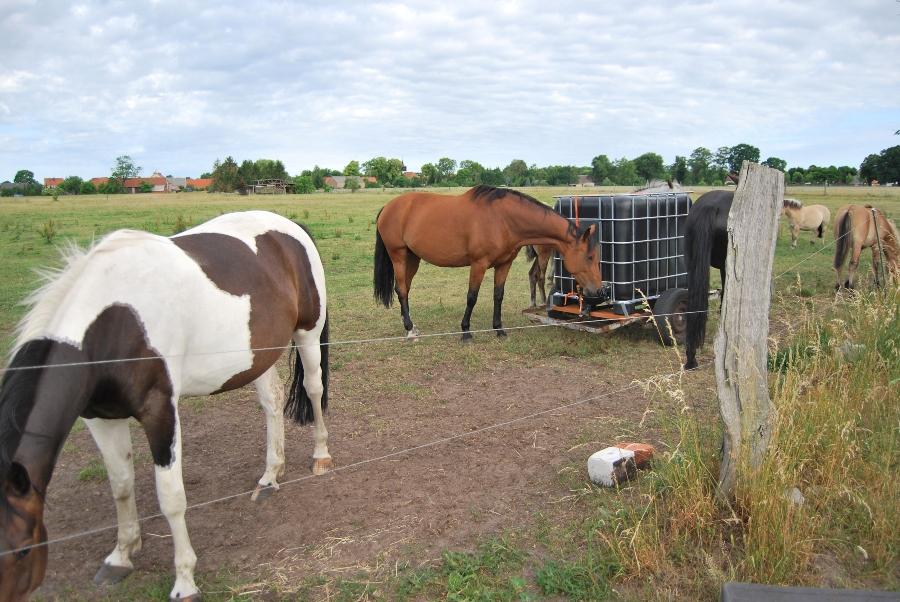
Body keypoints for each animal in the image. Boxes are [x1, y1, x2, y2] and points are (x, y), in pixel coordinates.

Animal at [0, 211, 330, 600]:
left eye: (23, 549)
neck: (114, 322)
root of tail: (289, 226)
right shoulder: (99, 418)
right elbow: (121, 484)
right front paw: (121, 555)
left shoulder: (160, 412)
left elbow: (171, 497)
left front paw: (185, 580)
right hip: (257, 355)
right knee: (272, 402)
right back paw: (269, 476)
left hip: (307, 334)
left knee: (313, 388)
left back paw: (320, 456)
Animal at [374, 184, 604, 338]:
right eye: (590, 257)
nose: (599, 291)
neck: (503, 219)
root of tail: (388, 207)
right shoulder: (479, 264)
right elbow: (472, 297)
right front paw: (466, 331)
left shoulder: (504, 264)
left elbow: (498, 295)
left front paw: (499, 329)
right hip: (398, 256)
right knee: (401, 290)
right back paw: (409, 329)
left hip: (412, 258)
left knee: (404, 289)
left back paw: (411, 326)